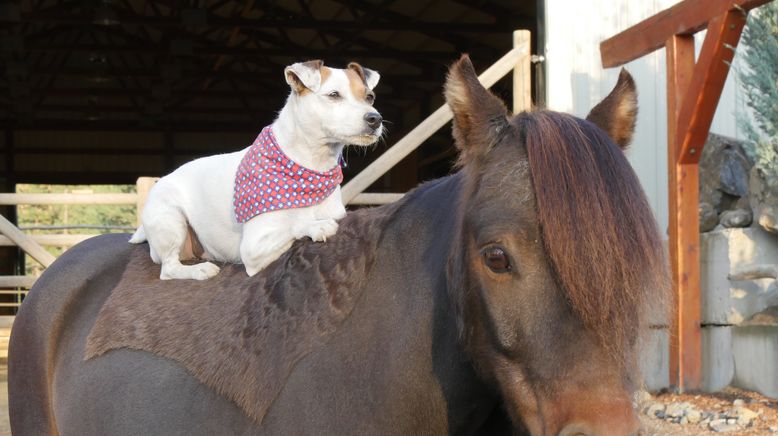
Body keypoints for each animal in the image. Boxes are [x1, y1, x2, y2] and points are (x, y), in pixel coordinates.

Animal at [132, 60, 384, 280]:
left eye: (369, 97)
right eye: (334, 95)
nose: (375, 118)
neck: (309, 167)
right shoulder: (253, 248)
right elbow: (292, 225)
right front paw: (315, 225)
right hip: (170, 219)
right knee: (168, 269)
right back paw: (199, 270)